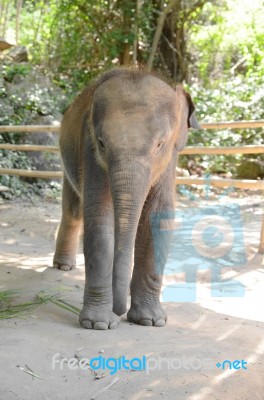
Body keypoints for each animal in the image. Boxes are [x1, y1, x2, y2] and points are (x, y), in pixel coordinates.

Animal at [53, 69, 198, 330]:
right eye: (101, 142)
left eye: (160, 144)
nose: (119, 311)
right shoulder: (88, 150)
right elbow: (99, 216)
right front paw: (99, 324)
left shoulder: (169, 161)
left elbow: (157, 218)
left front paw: (150, 320)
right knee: (73, 211)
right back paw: (63, 267)